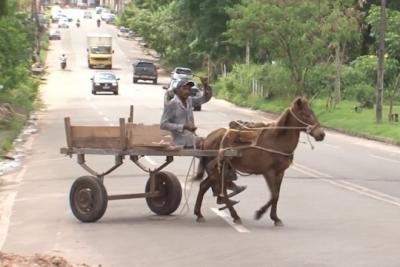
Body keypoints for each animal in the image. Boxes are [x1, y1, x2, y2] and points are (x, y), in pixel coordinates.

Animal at [193, 97, 324, 226]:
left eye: (313, 112)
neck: (277, 140)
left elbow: (277, 195)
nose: (321, 134)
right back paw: (234, 215)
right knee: (220, 190)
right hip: (218, 168)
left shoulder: (280, 173)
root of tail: (207, 138)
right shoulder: (268, 172)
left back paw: (200, 213)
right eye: (305, 114)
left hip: (220, 169)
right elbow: (274, 194)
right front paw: (260, 213)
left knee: (205, 186)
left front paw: (275, 218)